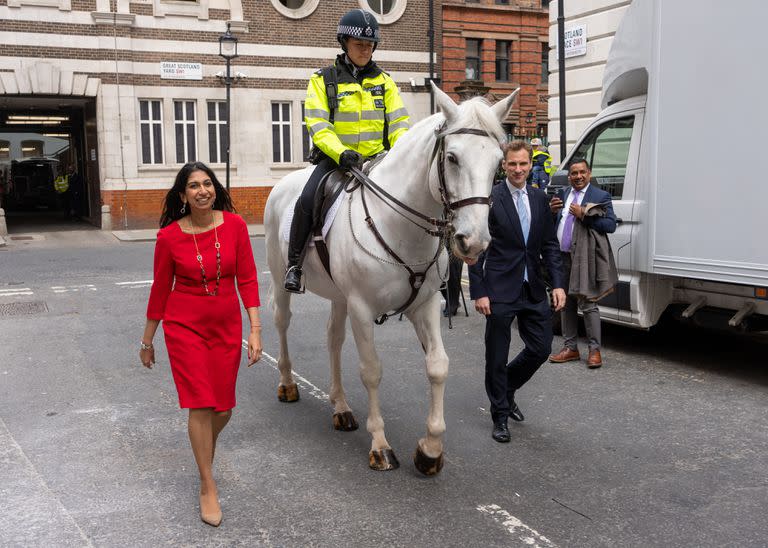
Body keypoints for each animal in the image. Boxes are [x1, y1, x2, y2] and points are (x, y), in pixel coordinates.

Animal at [266, 85, 520, 476]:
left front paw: (430, 449)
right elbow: (371, 371)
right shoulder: (361, 307)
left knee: (333, 339)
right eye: (452, 158)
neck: (399, 225)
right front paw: (381, 446)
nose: (474, 241)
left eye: (497, 165)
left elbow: (438, 366)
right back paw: (288, 383)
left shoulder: (425, 305)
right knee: (282, 321)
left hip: (339, 297)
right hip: (282, 277)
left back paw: (340, 407)